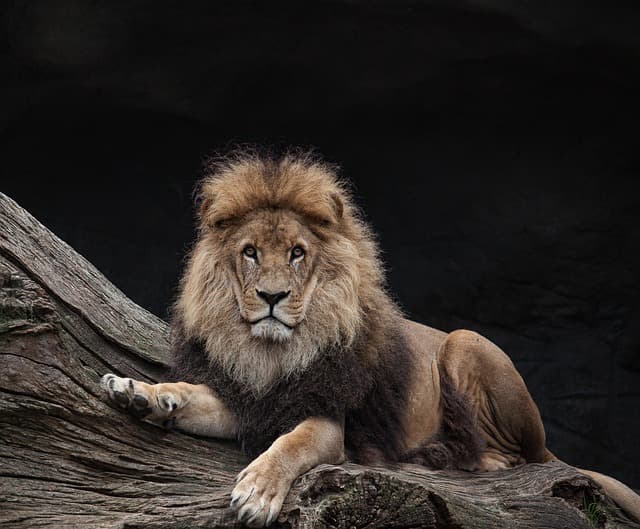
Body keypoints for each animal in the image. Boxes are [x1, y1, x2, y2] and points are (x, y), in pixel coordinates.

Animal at [101, 151, 640, 527]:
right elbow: (192, 394)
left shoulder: (326, 420)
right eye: (250, 252)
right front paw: (140, 393)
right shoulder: (253, 400)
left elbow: (291, 444)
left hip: (466, 343)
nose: (272, 296)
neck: (272, 352)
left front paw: (257, 491)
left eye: (297, 253)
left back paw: (448, 457)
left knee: (511, 456)